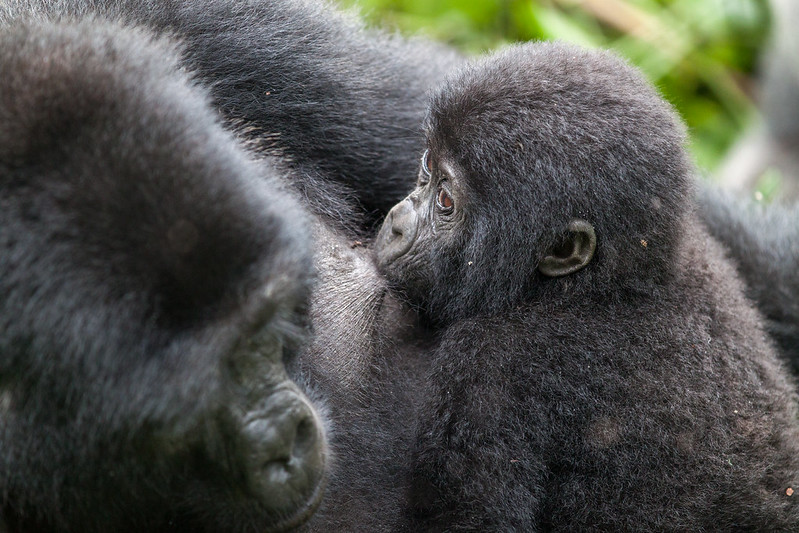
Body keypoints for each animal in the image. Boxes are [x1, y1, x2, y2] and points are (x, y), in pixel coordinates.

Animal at [376, 43, 799, 528]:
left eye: (446, 200)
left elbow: (472, 515)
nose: (396, 224)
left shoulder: (489, 365)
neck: (610, 285)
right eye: (426, 167)